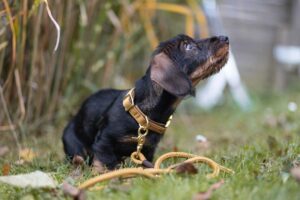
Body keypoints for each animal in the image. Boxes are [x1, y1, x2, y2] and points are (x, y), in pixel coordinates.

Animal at [62, 33, 229, 171]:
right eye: (189, 46)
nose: (225, 38)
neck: (143, 115)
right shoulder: (104, 141)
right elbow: (107, 163)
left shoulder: (148, 149)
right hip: (72, 142)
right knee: (79, 156)